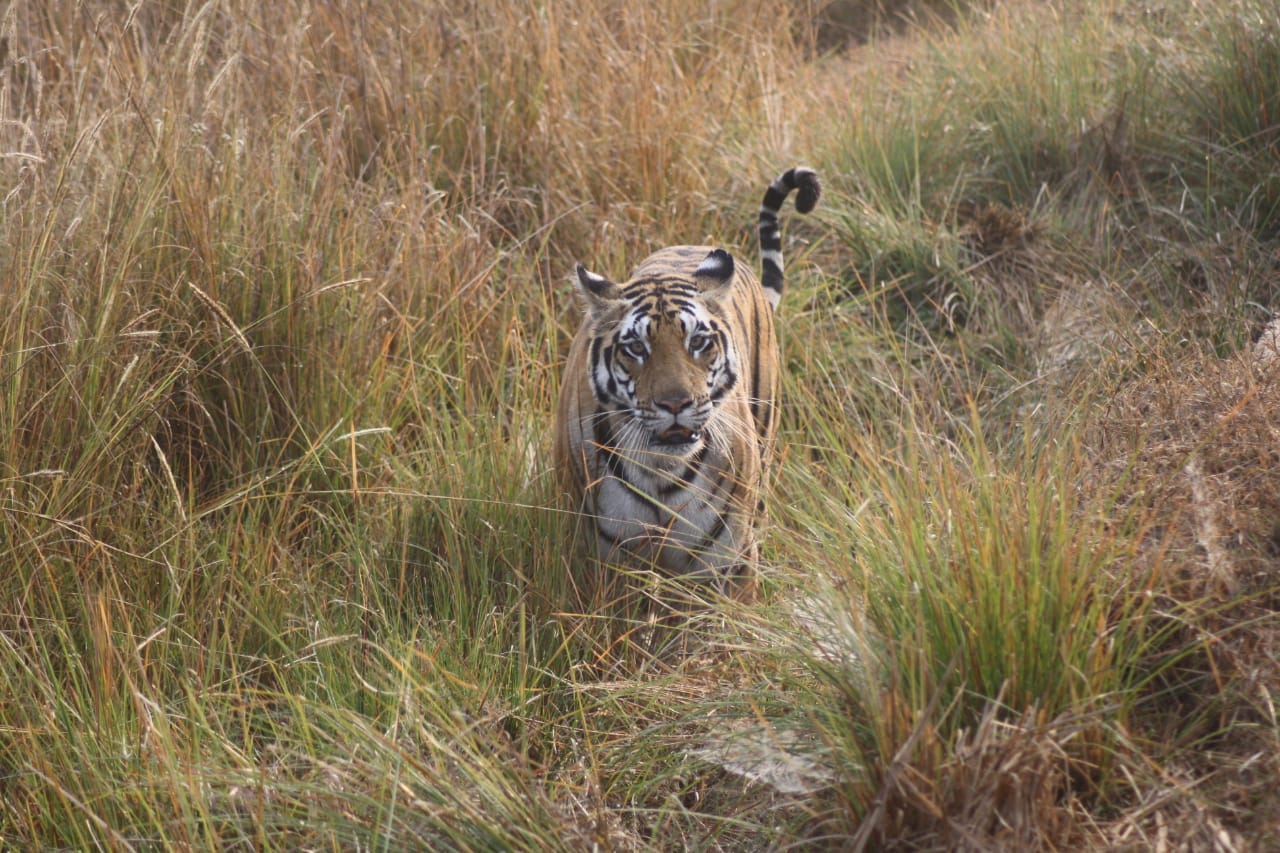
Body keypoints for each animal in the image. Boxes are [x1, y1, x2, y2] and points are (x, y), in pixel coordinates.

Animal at [552, 166, 819, 596]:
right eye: (636, 347)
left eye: (698, 342)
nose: (677, 404)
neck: (660, 471)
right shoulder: (603, 557)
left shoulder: (730, 559)